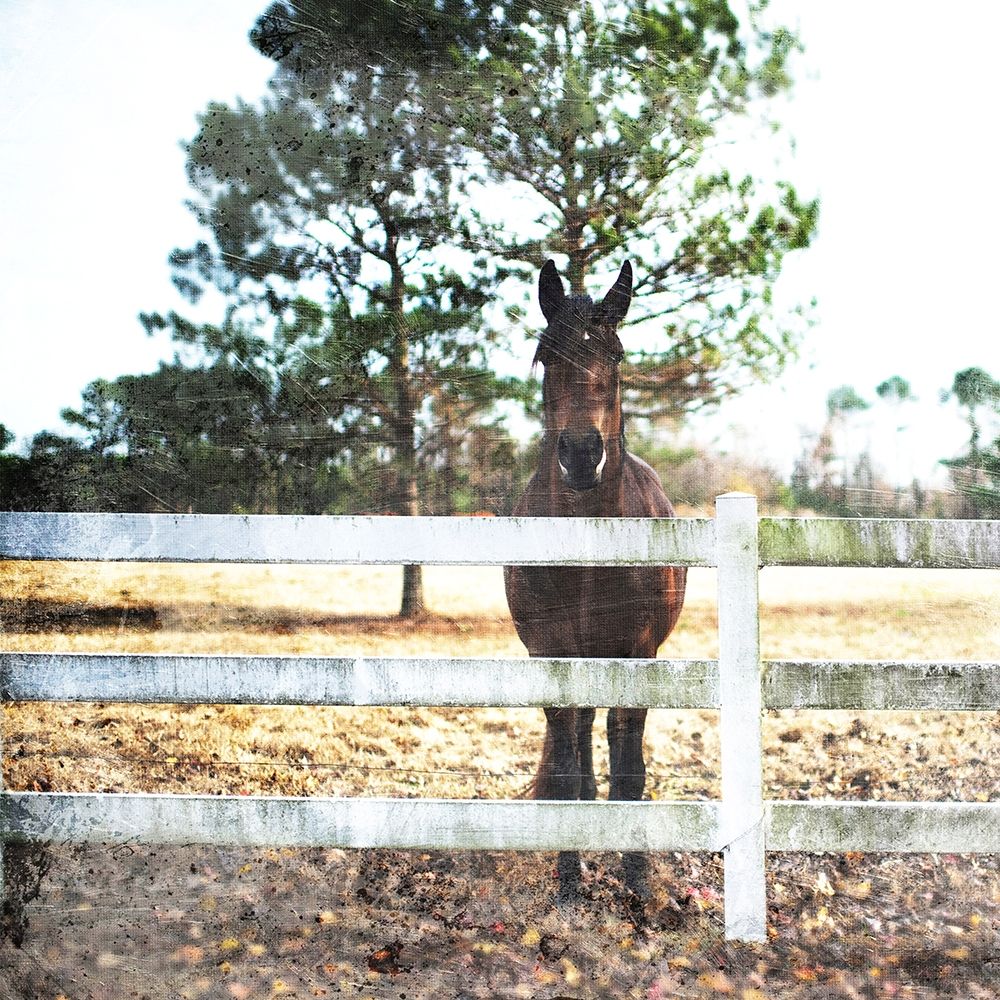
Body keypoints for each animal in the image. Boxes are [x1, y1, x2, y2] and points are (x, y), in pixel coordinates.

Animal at [504, 259, 687, 904]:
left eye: (616, 353)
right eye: (545, 355)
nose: (582, 454)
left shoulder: (637, 655)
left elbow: (629, 770)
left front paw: (637, 884)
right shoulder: (550, 653)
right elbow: (564, 769)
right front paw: (568, 885)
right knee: (580, 741)